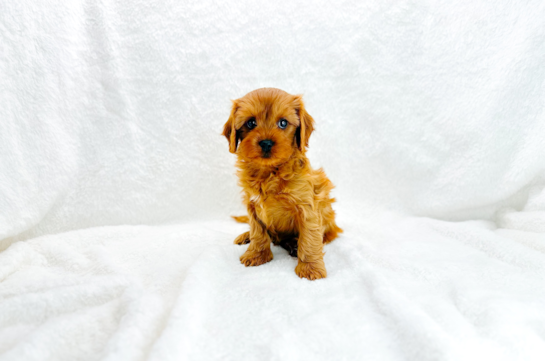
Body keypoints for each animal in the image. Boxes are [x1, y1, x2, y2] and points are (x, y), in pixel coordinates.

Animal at [221, 88, 340, 280]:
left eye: (283, 123)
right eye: (251, 123)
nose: (266, 142)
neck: (269, 173)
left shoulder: (307, 208)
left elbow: (310, 238)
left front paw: (310, 267)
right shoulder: (252, 205)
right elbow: (258, 232)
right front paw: (257, 255)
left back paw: (294, 245)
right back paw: (246, 236)